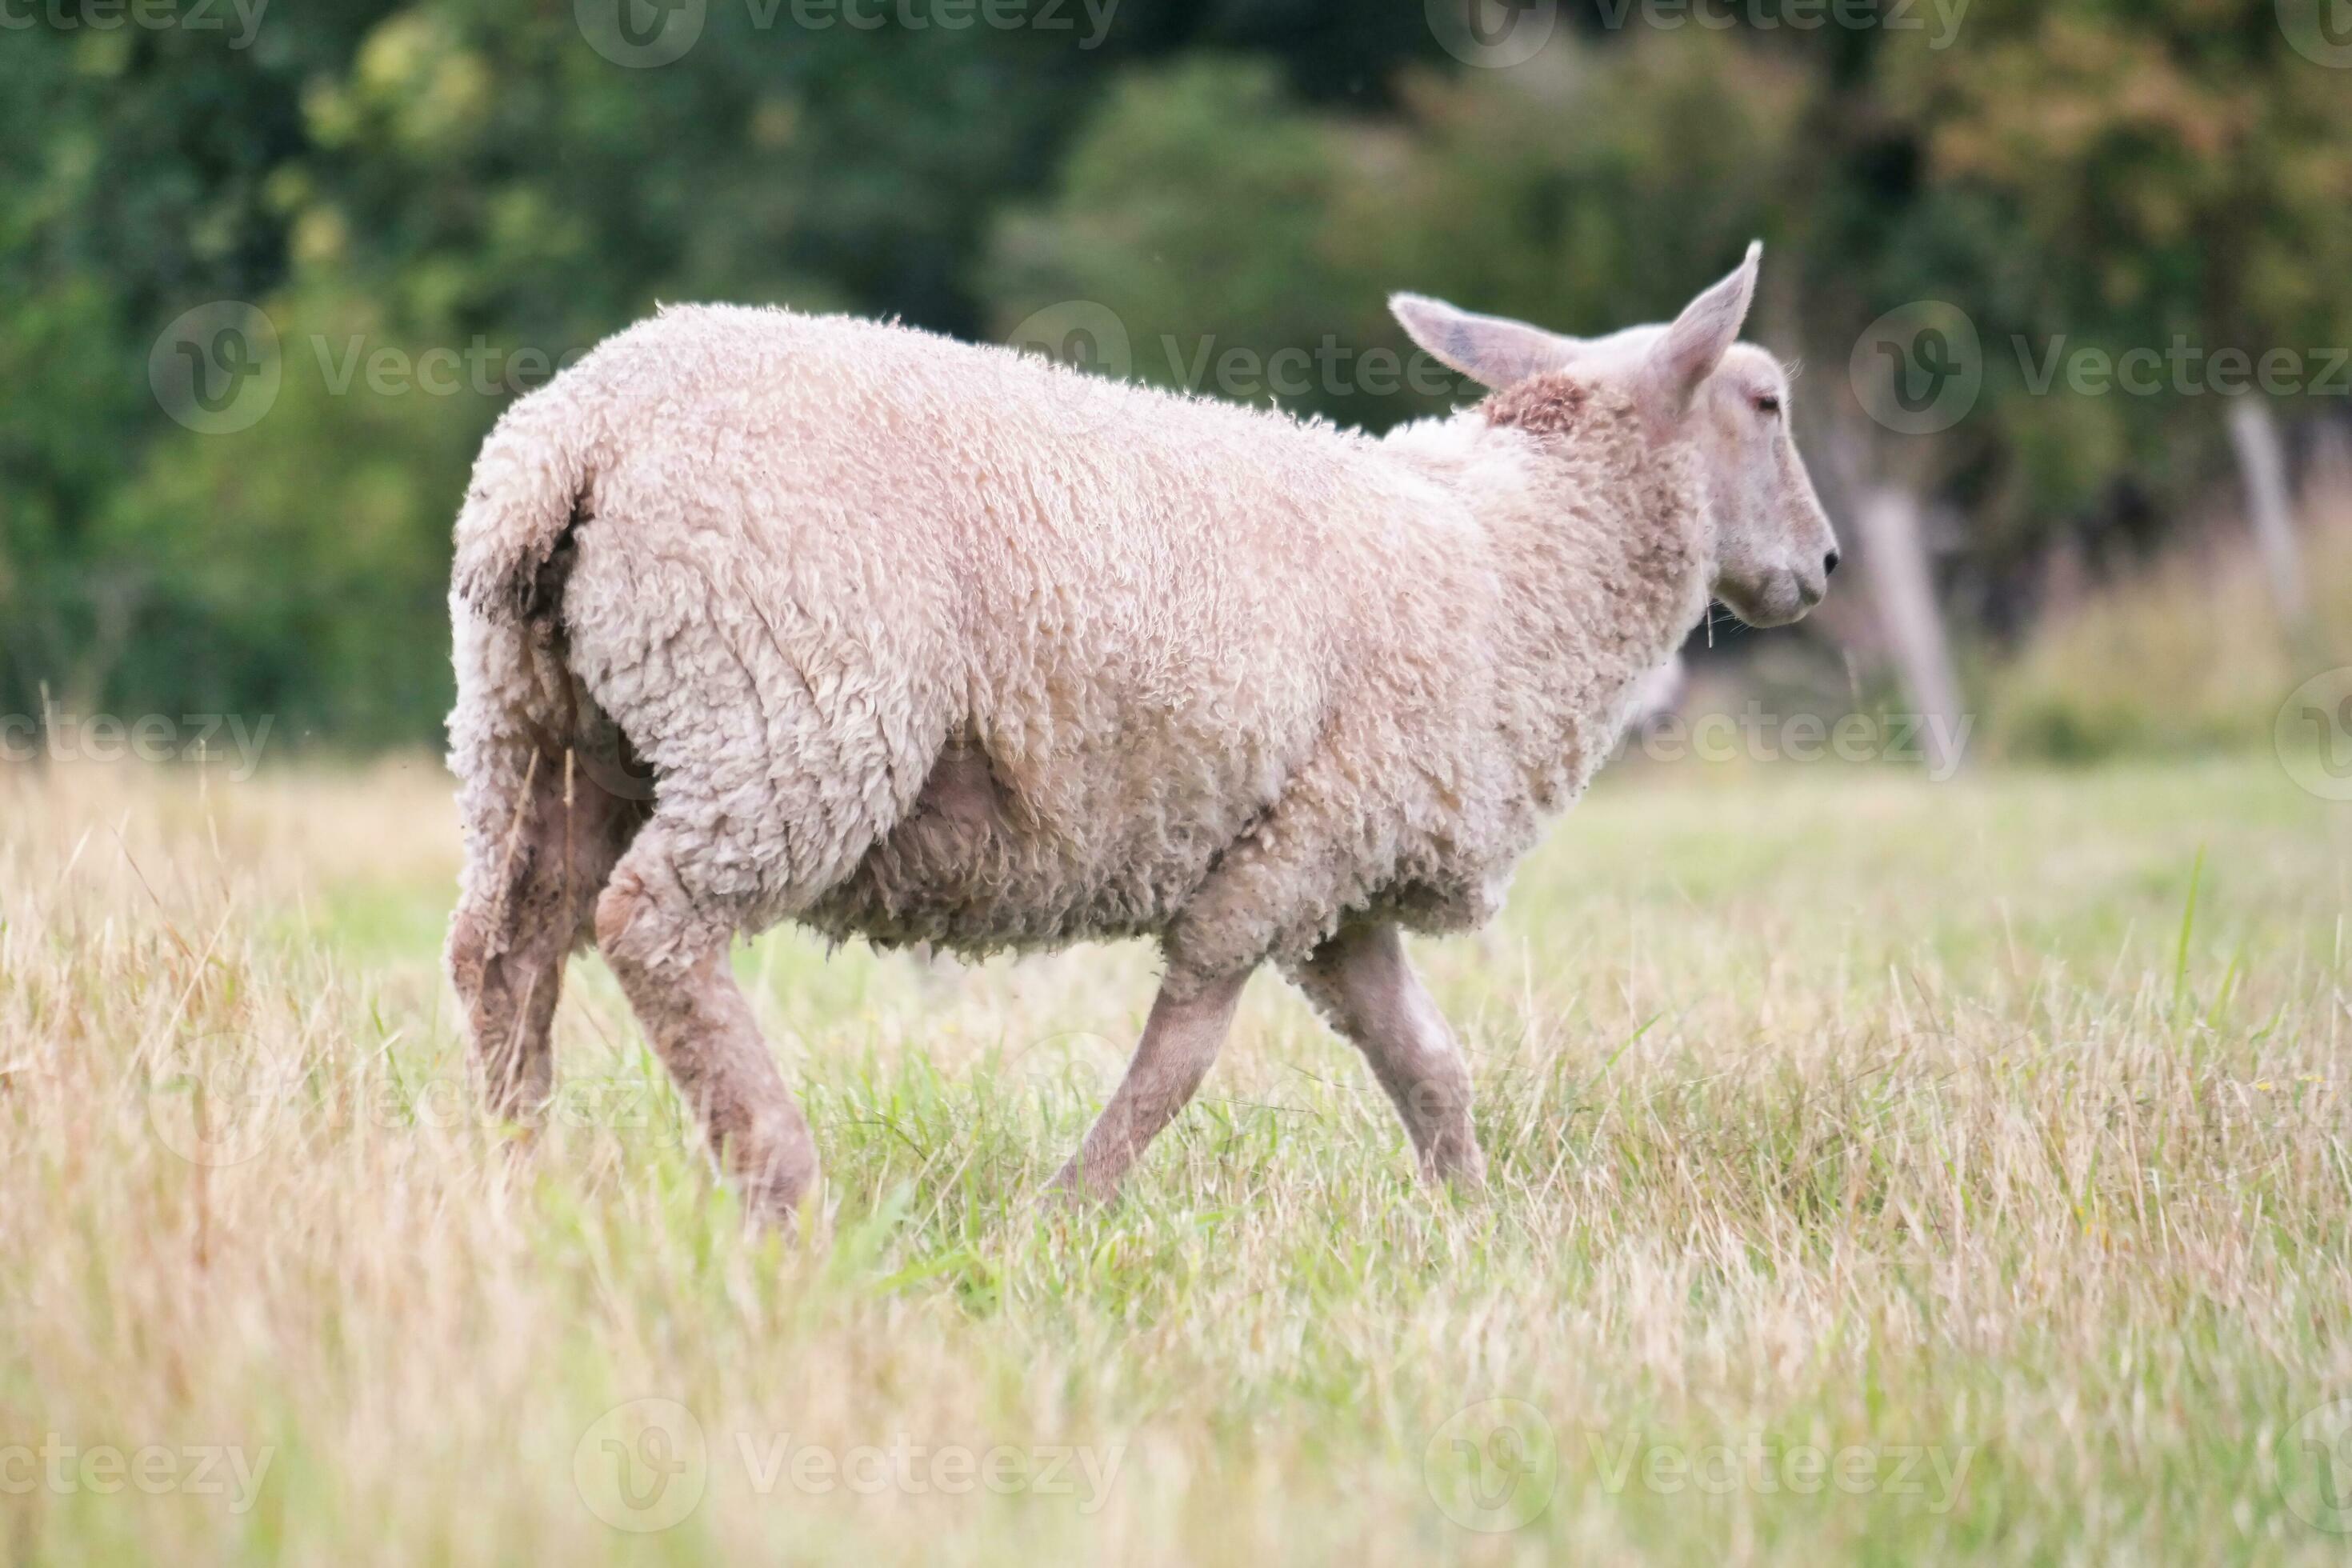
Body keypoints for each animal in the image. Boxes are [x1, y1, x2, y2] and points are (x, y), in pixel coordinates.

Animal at [444, 242, 1839, 1222]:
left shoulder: (1343, 873)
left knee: (504, 948)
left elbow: (1427, 1063)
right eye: (1769, 400)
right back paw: (787, 1191)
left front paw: (1477, 1224)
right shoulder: (1294, 852)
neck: (1514, 557)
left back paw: (519, 1177)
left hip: (539, 726)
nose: (1823, 566)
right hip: (793, 714)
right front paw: (1061, 1216)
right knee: (653, 927)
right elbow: (1184, 1055)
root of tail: (573, 440)